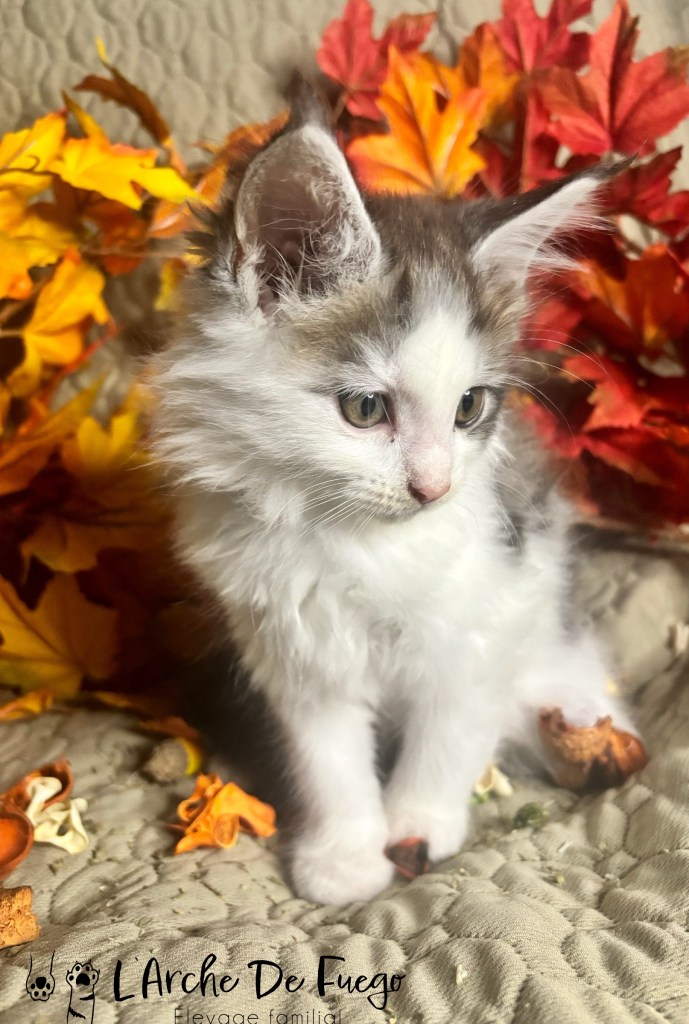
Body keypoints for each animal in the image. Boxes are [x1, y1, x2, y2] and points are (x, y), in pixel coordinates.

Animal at [151, 83, 637, 905]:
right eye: (364, 409)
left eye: (468, 407)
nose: (433, 486)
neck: (352, 542)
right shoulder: (291, 647)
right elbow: (327, 760)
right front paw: (346, 857)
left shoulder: (488, 612)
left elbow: (448, 736)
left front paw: (419, 829)